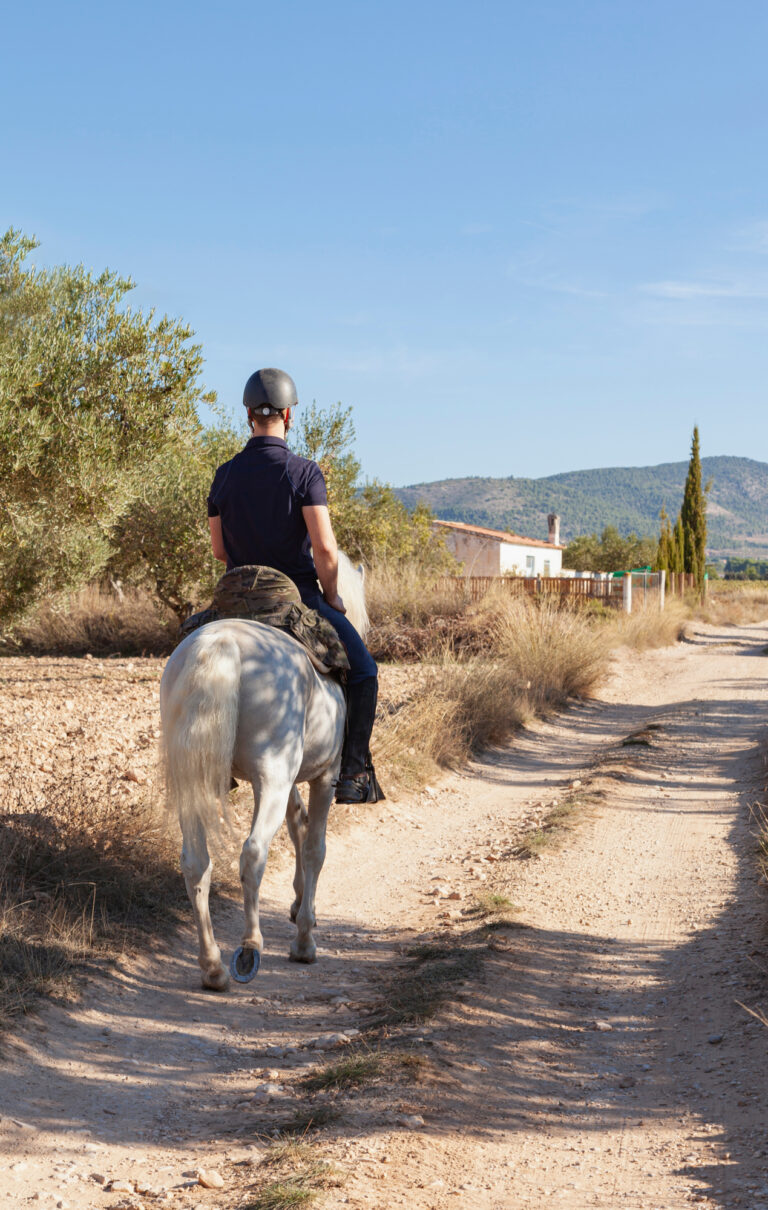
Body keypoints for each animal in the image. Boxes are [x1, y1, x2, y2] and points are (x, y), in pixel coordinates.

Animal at [160, 556, 367, 992]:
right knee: (253, 853)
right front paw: (304, 938)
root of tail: (222, 643)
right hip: (274, 777)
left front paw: (300, 902)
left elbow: (297, 824)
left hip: (196, 779)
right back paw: (249, 948)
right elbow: (314, 846)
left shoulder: (284, 783)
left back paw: (213, 966)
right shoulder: (324, 777)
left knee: (195, 863)